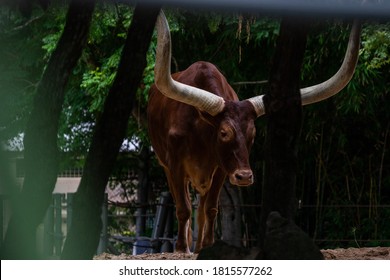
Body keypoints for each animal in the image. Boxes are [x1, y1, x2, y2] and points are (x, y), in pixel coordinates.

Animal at [148, 11, 362, 254]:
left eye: (253, 133)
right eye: (224, 132)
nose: (245, 176)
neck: (200, 131)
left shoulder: (222, 168)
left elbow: (210, 208)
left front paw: (208, 246)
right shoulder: (174, 165)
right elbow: (183, 207)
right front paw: (182, 248)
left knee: (202, 208)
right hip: (168, 167)